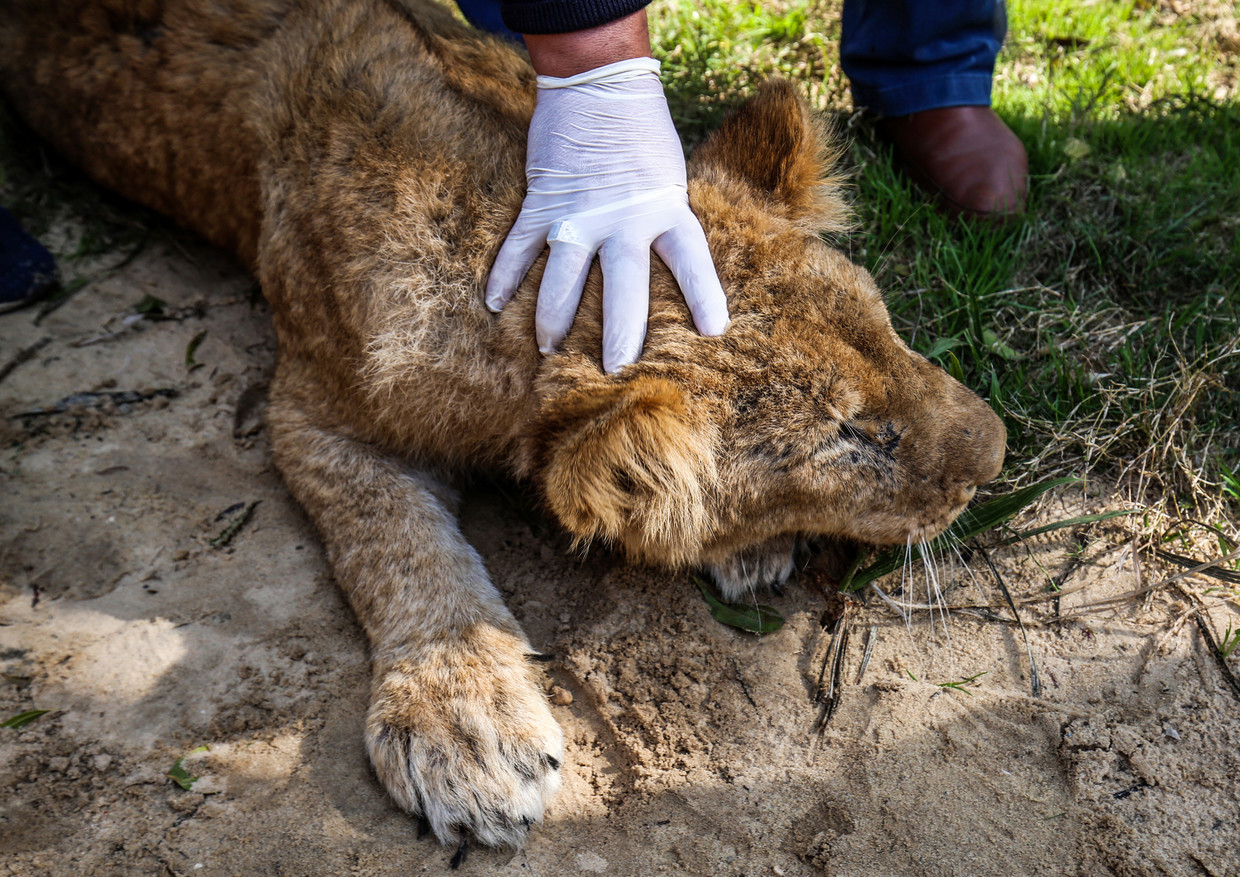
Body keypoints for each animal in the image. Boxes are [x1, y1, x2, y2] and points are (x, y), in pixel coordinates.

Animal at [0, 0, 1006, 853]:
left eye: (887, 328)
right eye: (852, 436)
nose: (998, 452)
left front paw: (750, 544)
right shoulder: (307, 407)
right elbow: (395, 542)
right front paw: (463, 720)